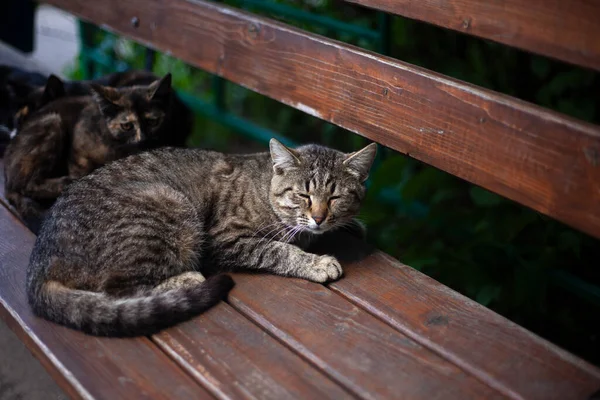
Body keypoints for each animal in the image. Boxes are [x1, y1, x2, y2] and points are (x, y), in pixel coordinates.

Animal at [3, 74, 176, 230]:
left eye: (153, 122)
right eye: (126, 126)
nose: (143, 140)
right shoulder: (79, 151)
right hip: (53, 121)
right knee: (26, 184)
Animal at [28, 139, 378, 336]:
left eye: (335, 197)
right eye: (304, 195)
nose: (319, 217)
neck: (265, 186)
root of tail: (38, 267)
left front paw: (352, 227)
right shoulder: (225, 239)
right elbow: (278, 250)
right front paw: (316, 263)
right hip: (168, 208)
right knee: (118, 290)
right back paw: (187, 279)